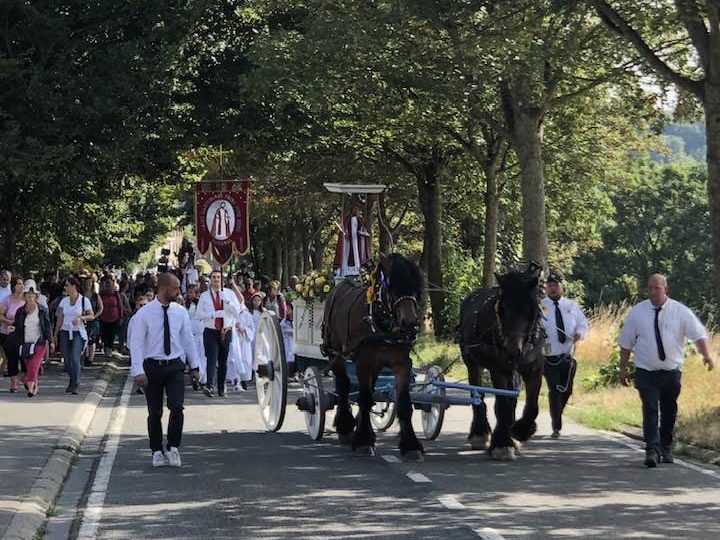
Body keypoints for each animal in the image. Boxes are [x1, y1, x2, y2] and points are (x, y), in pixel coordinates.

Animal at [320, 253, 424, 460]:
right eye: (391, 287)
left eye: (415, 288)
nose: (410, 325)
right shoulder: (364, 363)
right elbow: (365, 399)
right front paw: (363, 441)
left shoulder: (402, 363)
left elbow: (403, 404)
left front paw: (411, 445)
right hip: (336, 353)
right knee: (343, 385)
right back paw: (345, 426)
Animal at [458, 262, 544, 460]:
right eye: (502, 309)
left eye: (532, 311)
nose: (513, 351)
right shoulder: (499, 369)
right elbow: (502, 405)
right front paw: (502, 444)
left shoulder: (534, 368)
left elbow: (532, 405)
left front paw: (521, 430)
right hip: (472, 362)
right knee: (478, 396)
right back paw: (479, 434)